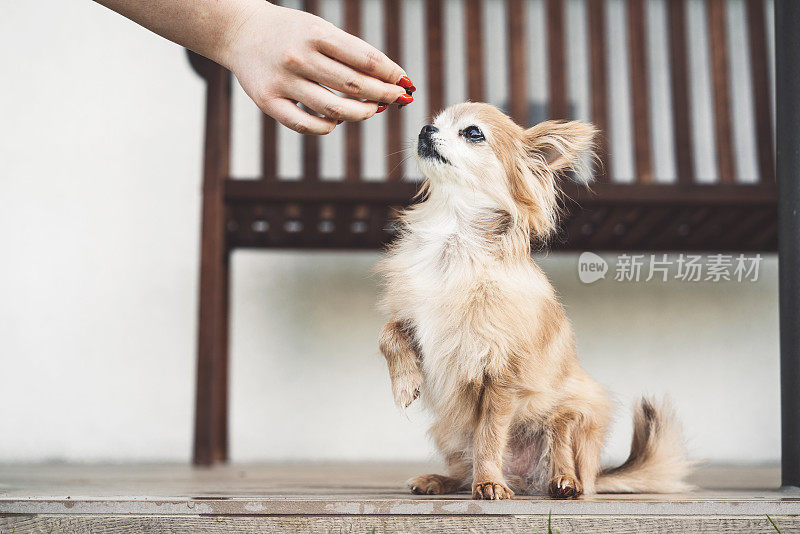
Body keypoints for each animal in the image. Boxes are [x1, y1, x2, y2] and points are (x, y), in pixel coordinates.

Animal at [378, 102, 692, 500]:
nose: (424, 130)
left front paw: (489, 483)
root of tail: (526, 479)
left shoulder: (500, 374)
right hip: (449, 431)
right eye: (434, 122)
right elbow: (388, 334)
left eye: (472, 133)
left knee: (565, 453)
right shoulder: (416, 317)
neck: (454, 240)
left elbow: (489, 436)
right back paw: (440, 480)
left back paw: (562, 483)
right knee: (462, 469)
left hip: (575, 410)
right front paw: (404, 383)